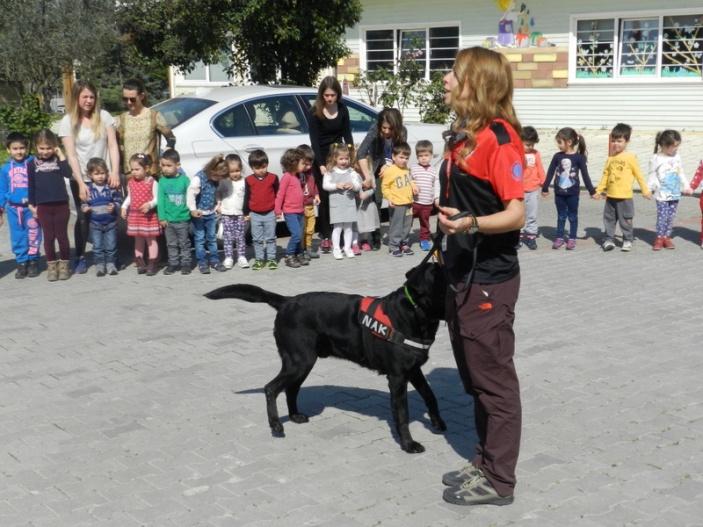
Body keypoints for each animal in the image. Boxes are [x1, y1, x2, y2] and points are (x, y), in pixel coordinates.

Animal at [205, 264, 446, 454]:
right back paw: (276, 425)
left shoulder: (414, 370)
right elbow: (402, 415)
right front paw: (408, 444)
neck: (413, 313)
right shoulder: (397, 378)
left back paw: (295, 416)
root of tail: (286, 302)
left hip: (302, 363)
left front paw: (437, 422)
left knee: (290, 389)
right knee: (271, 388)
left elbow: (430, 395)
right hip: (299, 361)